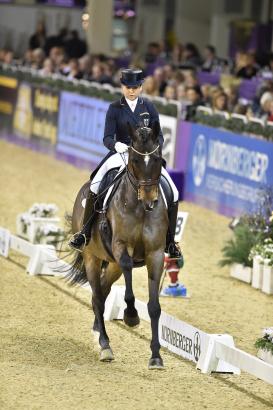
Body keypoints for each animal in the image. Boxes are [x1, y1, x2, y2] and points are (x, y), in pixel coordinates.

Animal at [68, 121, 168, 368]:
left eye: (158, 159)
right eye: (135, 160)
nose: (150, 200)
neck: (139, 207)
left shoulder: (155, 254)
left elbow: (154, 307)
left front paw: (156, 357)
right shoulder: (121, 248)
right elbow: (128, 287)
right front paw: (131, 316)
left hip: (111, 265)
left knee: (102, 292)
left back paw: (97, 331)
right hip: (92, 257)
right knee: (97, 297)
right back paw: (105, 345)